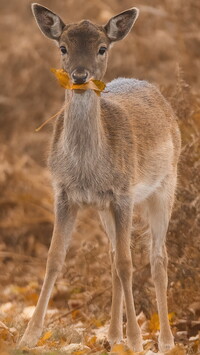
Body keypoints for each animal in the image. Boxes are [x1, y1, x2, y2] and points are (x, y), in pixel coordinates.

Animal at [19, 3, 181, 354]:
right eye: (63, 47)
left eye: (102, 48)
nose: (80, 75)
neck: (87, 171)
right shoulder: (64, 193)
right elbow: (54, 258)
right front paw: (29, 335)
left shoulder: (123, 193)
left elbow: (127, 263)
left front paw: (136, 340)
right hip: (104, 209)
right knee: (111, 256)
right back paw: (113, 334)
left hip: (166, 183)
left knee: (157, 258)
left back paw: (165, 340)